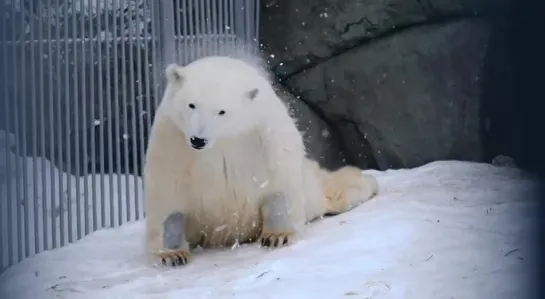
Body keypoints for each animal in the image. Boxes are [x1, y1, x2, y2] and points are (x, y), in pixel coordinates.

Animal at [142, 55, 376, 268]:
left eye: (221, 111)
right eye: (191, 105)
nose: (198, 140)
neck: (223, 140)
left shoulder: (263, 131)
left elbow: (279, 181)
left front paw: (277, 236)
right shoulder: (172, 137)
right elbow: (168, 190)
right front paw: (173, 254)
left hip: (309, 188)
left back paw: (367, 182)